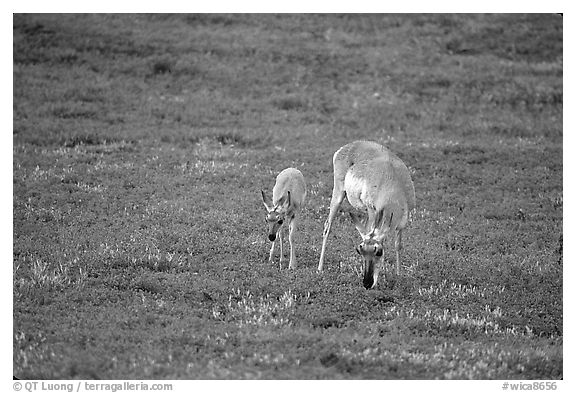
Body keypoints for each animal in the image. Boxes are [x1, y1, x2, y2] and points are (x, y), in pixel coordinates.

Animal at [320, 141, 414, 288]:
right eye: (360, 250)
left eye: (379, 252)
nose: (367, 283)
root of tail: (351, 145)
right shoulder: (372, 210)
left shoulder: (401, 224)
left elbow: (398, 245)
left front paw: (399, 275)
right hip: (339, 194)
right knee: (327, 227)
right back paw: (320, 268)